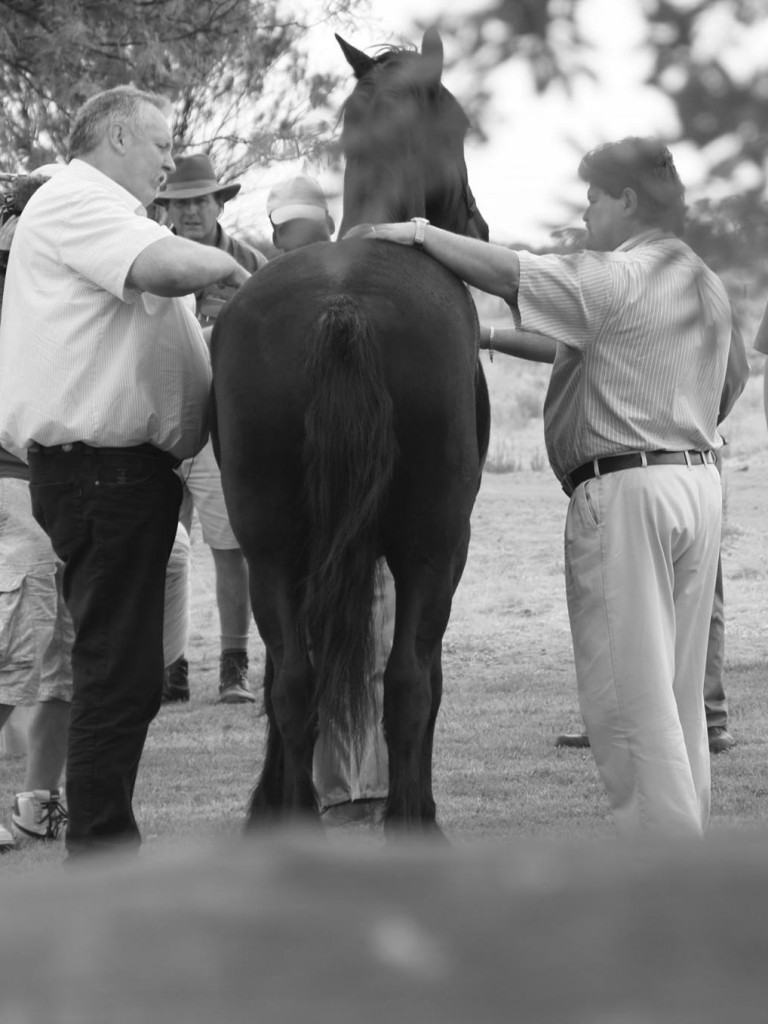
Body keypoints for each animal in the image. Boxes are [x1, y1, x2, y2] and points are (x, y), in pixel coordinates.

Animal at [211, 29, 493, 831]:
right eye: (460, 126)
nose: (478, 228)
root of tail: (343, 307)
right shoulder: (441, 549)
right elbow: (423, 678)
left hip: (271, 544)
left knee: (294, 682)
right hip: (431, 544)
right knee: (407, 682)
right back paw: (412, 822)